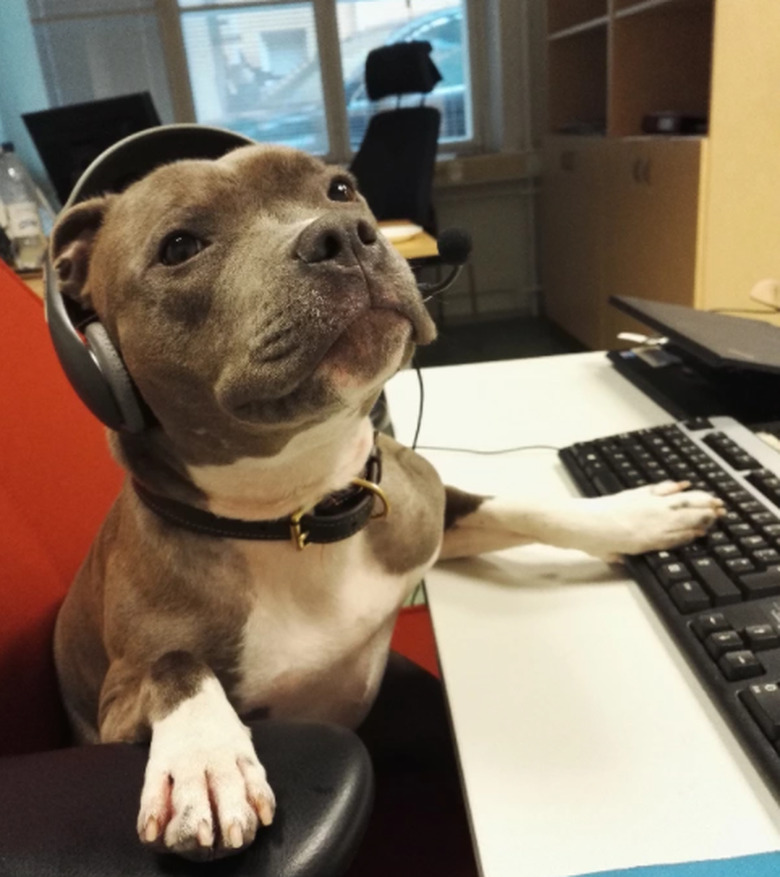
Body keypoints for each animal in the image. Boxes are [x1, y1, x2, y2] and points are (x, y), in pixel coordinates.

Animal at [50, 142, 724, 856]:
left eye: (340, 189)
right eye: (179, 246)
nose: (342, 235)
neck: (298, 511)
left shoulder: (430, 514)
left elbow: (526, 507)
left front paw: (639, 514)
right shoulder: (115, 710)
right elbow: (173, 664)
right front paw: (206, 757)